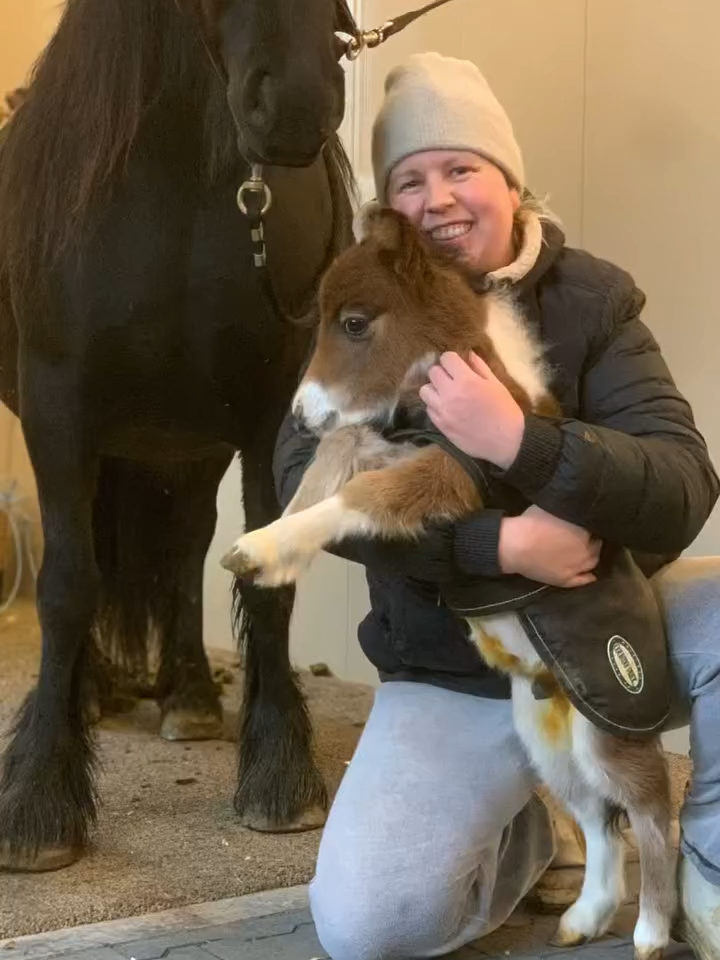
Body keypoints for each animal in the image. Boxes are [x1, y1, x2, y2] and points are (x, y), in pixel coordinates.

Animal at [0, 0, 361, 873]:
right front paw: (39, 800)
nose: (295, 102)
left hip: (190, 448)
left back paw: (190, 694)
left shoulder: (270, 414)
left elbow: (263, 575)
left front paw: (278, 771)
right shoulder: (58, 410)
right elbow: (67, 586)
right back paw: (88, 694)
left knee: (188, 550)